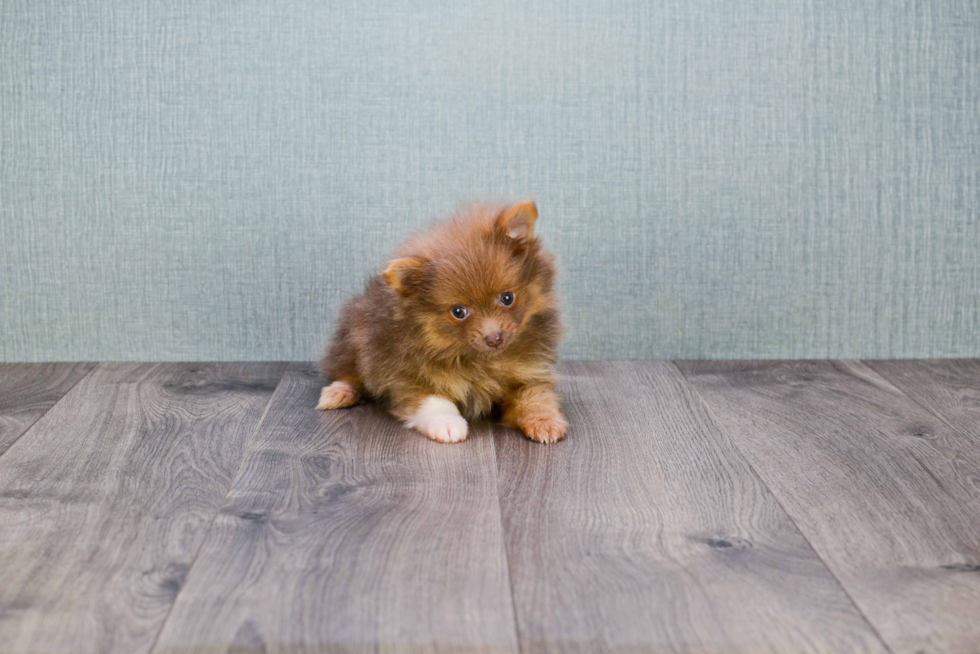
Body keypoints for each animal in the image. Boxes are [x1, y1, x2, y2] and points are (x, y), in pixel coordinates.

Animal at [318, 200, 568, 446]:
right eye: (459, 312)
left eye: (507, 298)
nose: (494, 337)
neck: (480, 360)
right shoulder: (404, 375)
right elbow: (434, 400)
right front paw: (448, 424)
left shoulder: (530, 373)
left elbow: (536, 396)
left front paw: (544, 421)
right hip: (355, 337)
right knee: (346, 372)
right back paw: (338, 393)